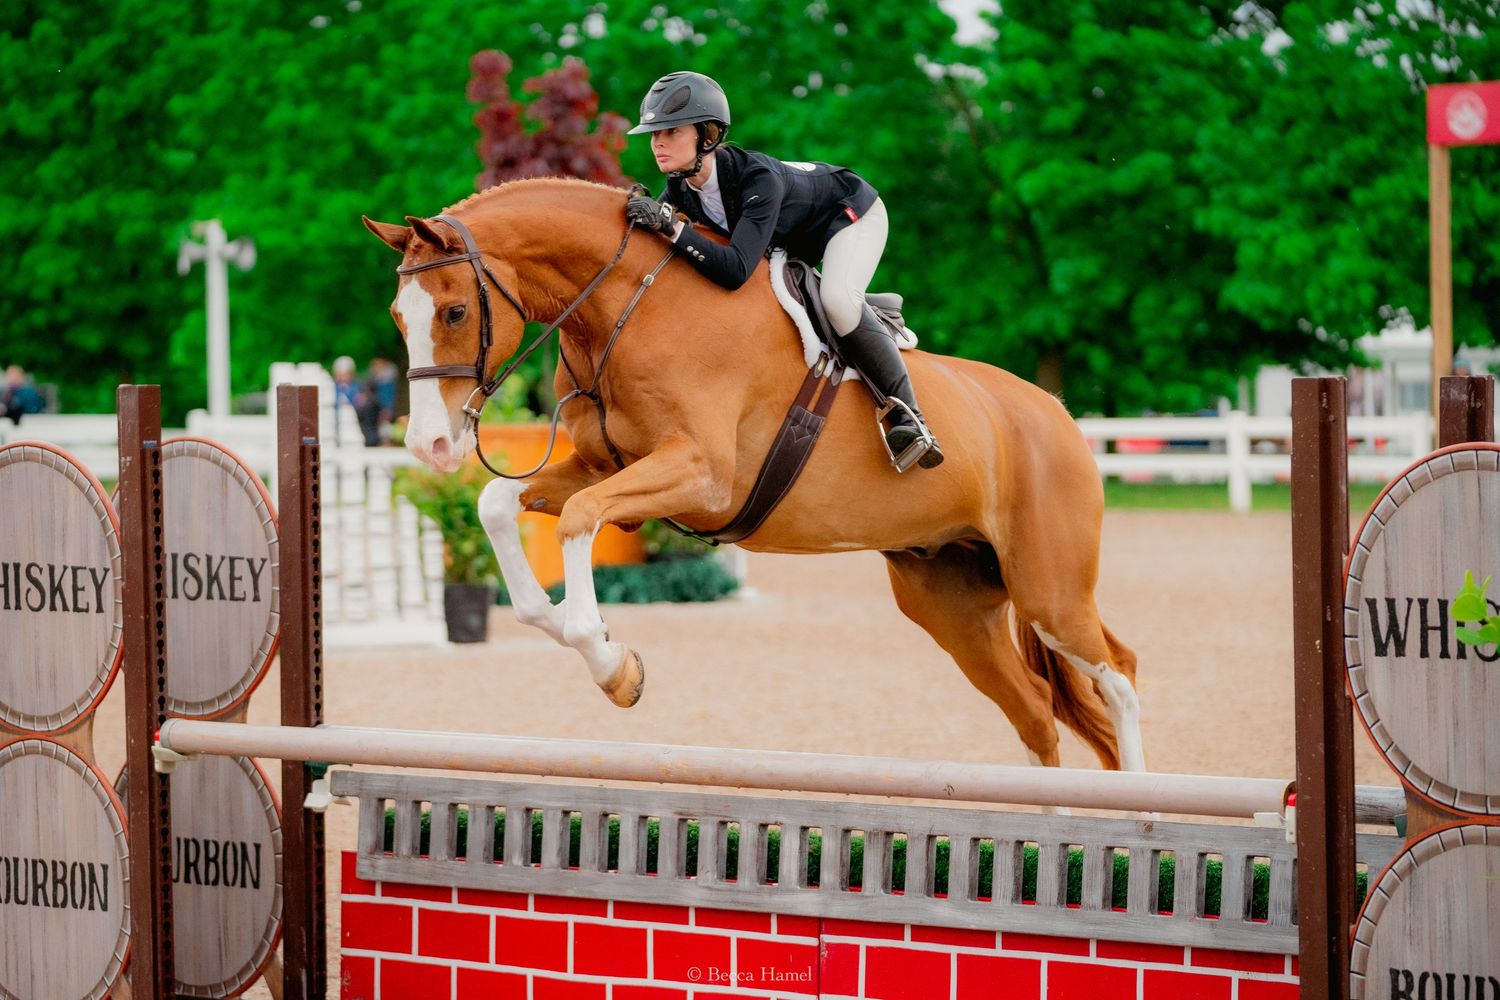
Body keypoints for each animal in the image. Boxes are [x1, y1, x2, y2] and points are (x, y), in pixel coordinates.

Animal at [363, 177, 1144, 772]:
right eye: (398, 315)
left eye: (455, 311)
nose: (432, 444)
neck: (629, 305)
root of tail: (1057, 414)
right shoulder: (603, 467)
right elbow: (499, 504)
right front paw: (605, 648)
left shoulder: (701, 476)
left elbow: (582, 519)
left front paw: (612, 668)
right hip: (950, 601)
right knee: (1035, 714)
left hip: (1047, 590)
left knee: (1119, 676)